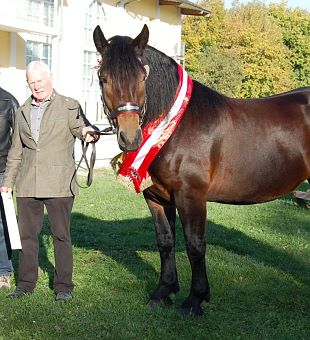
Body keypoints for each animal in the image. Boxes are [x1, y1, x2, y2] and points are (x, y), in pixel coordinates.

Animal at [94, 24, 310, 316]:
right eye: (103, 78)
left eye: (141, 77)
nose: (130, 137)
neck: (175, 127)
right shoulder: (157, 197)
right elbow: (165, 241)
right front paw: (163, 291)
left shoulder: (191, 196)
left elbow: (195, 245)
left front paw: (195, 299)